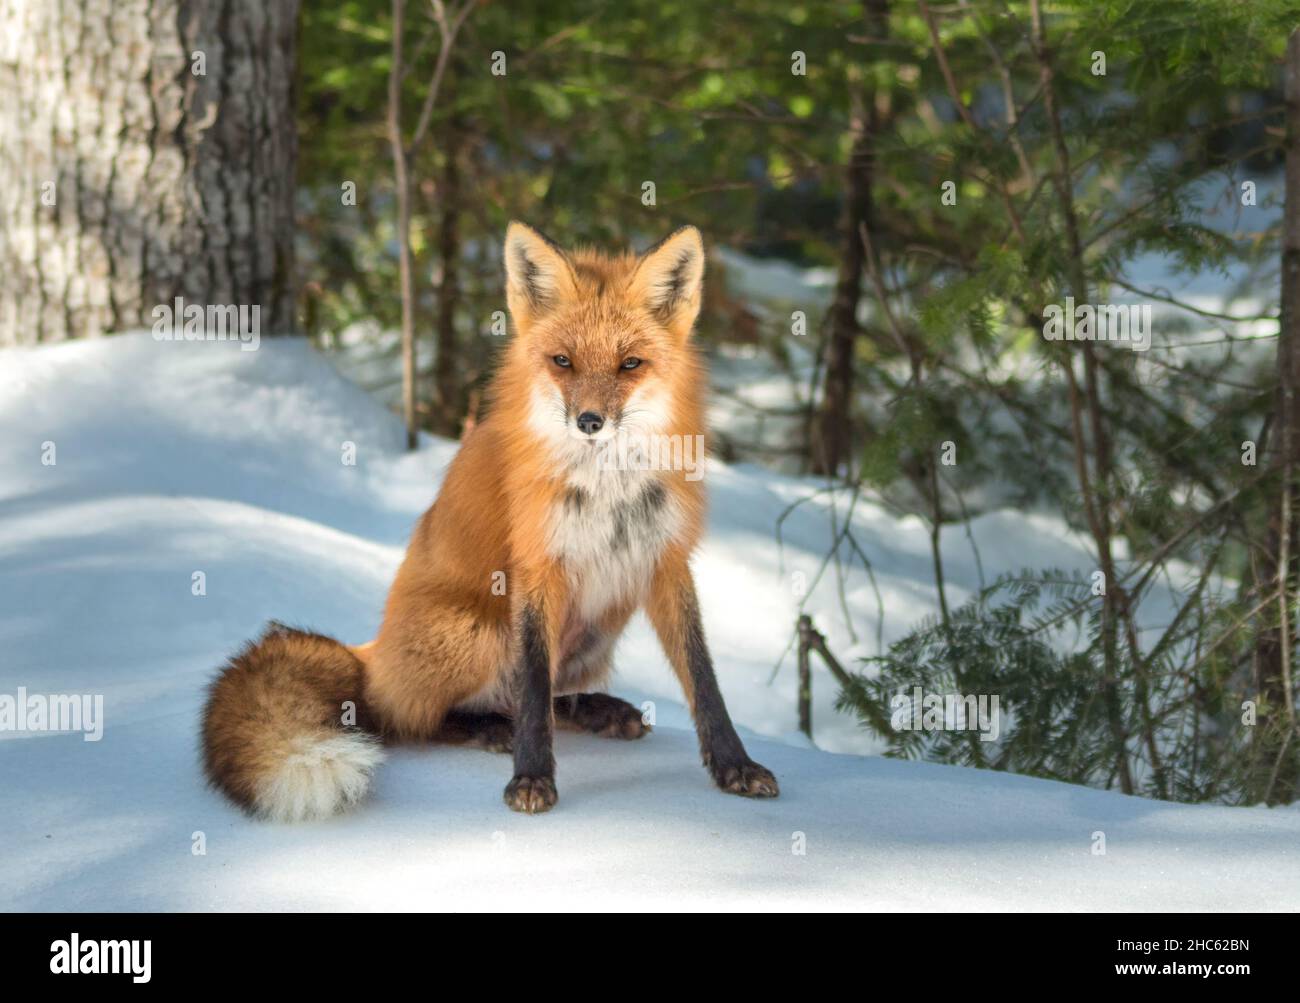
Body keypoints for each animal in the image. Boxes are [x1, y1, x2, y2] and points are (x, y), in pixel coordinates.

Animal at [201, 222, 779, 820]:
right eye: (563, 361)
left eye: (630, 364)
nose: (589, 421)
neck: (606, 487)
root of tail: (370, 655)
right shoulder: (535, 567)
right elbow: (533, 685)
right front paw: (531, 777)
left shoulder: (665, 560)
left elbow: (703, 679)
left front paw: (734, 765)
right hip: (482, 632)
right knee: (411, 721)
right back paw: (487, 728)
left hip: (601, 625)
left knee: (542, 698)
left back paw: (595, 711)